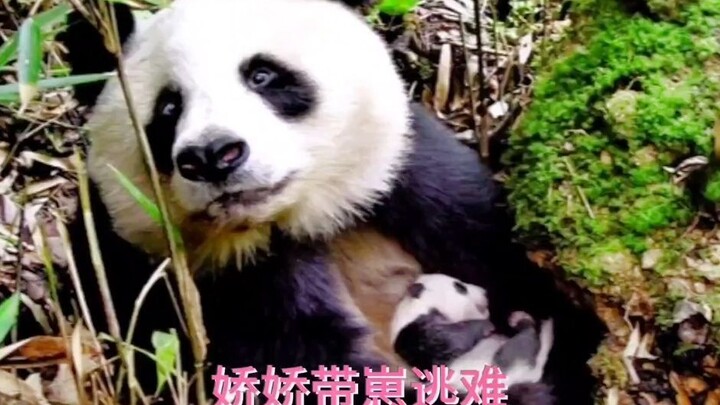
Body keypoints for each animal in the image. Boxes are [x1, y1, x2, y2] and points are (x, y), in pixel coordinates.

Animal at [390, 274, 556, 405]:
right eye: (460, 287)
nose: (485, 292)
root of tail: (530, 375)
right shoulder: (419, 334)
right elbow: (453, 340)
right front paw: (484, 325)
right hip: (502, 367)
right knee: (520, 345)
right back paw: (523, 322)